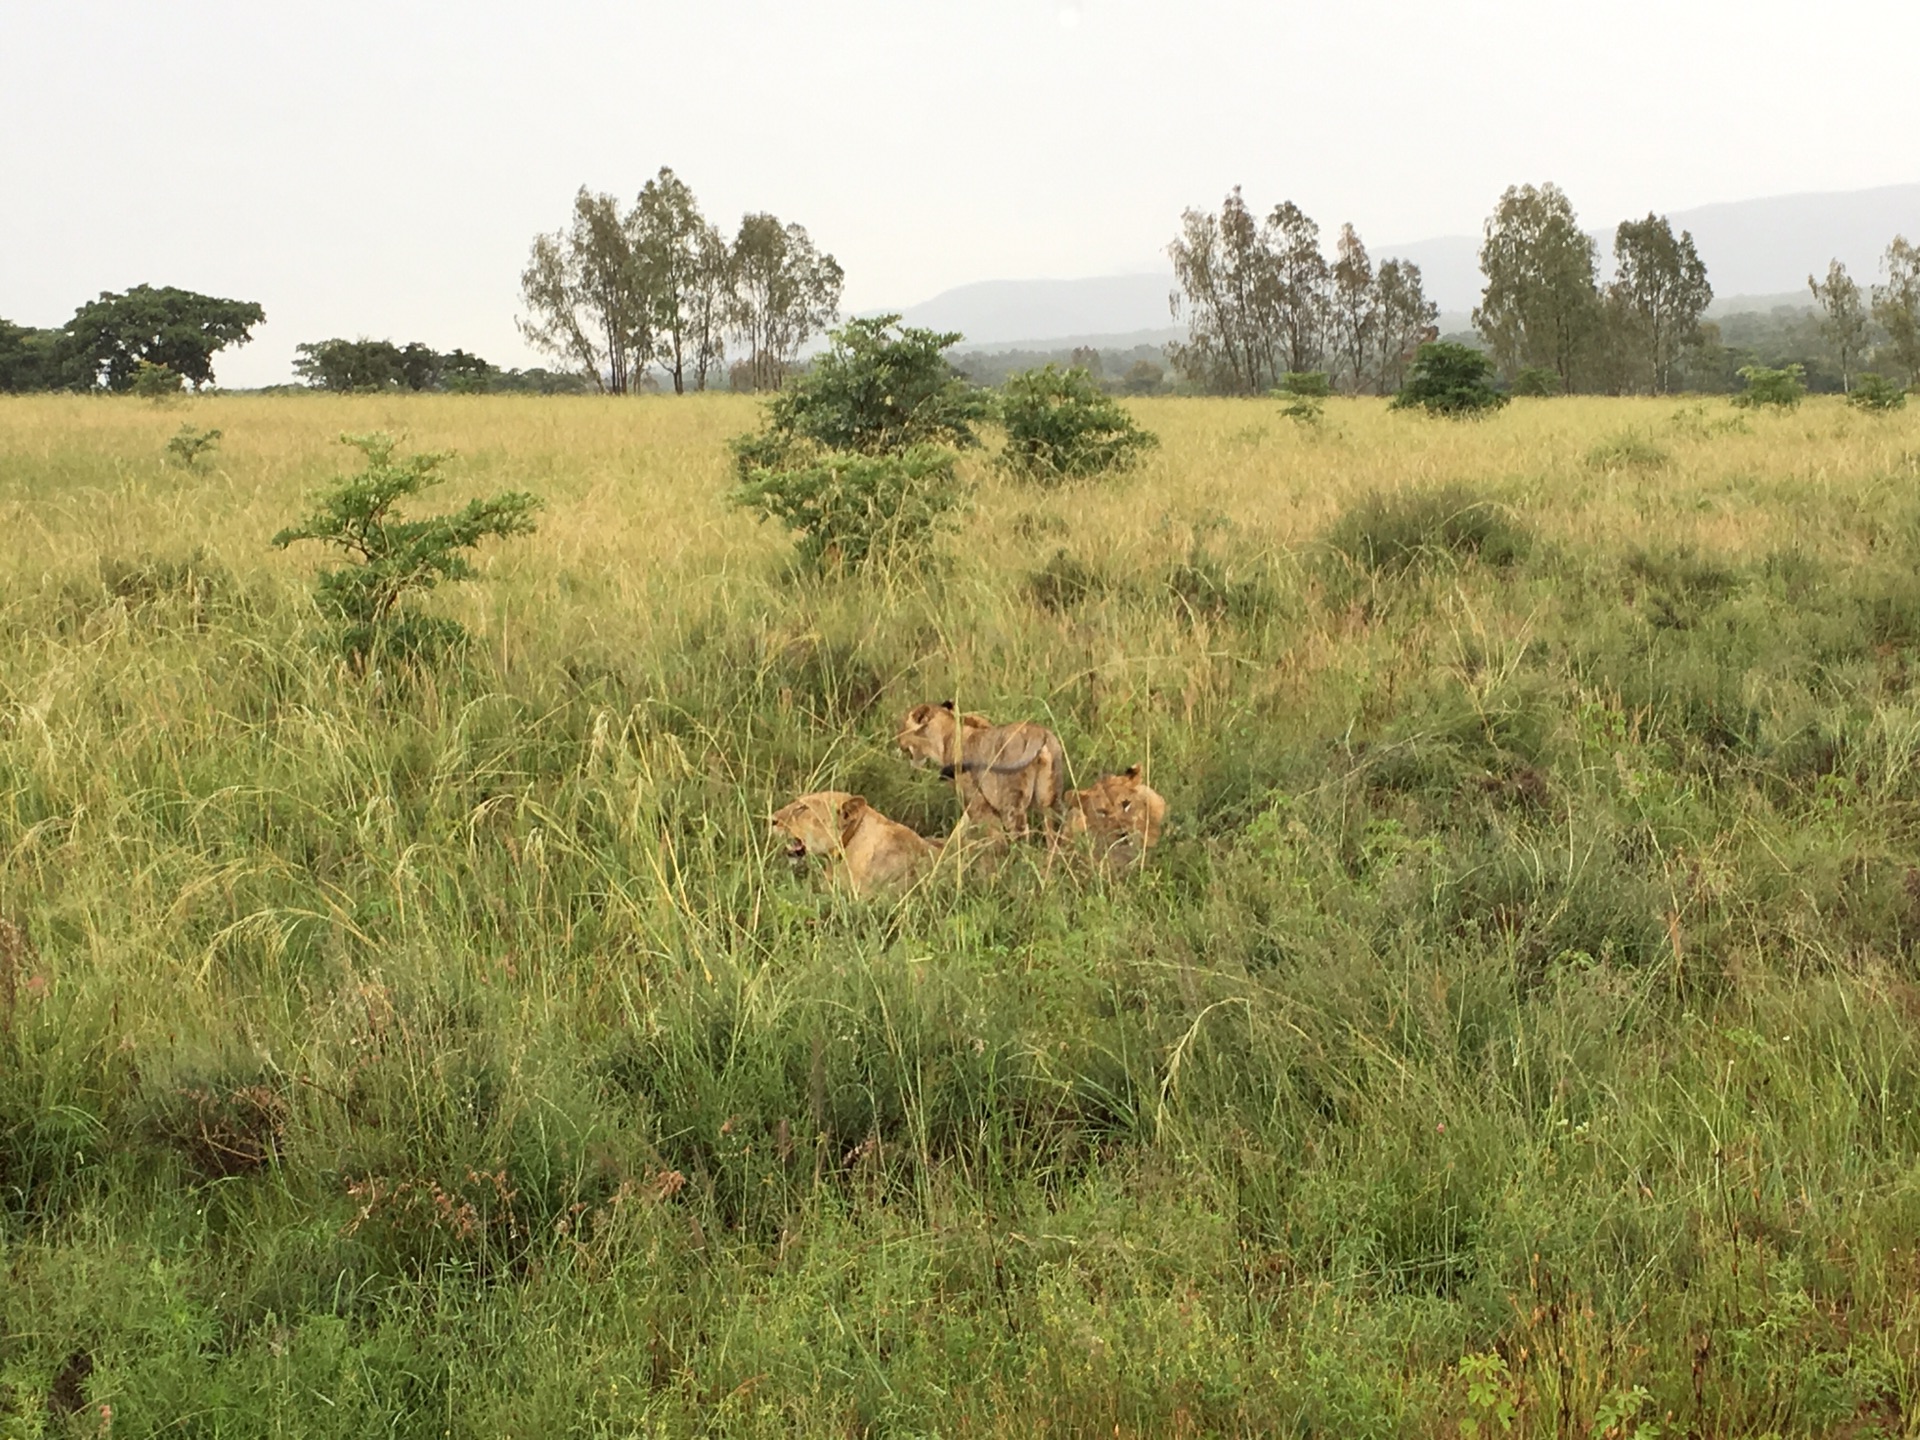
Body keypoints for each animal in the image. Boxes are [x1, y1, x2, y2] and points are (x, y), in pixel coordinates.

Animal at [894, 706, 1075, 840]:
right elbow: (961, 828)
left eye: (902, 727)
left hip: (1011, 801)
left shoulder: (975, 800)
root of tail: (1038, 732)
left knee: (1020, 835)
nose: (897, 741)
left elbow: (988, 832)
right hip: (1051, 799)